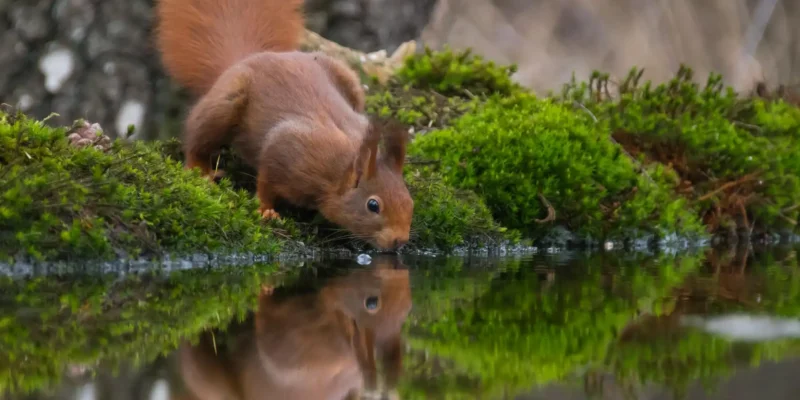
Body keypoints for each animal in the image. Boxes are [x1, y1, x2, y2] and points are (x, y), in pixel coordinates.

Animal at [155, 0, 414, 250]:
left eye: (410, 201)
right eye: (373, 205)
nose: (400, 241)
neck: (339, 171)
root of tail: (250, 57)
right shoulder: (288, 148)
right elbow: (266, 181)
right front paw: (265, 210)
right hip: (225, 103)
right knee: (197, 137)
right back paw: (201, 169)